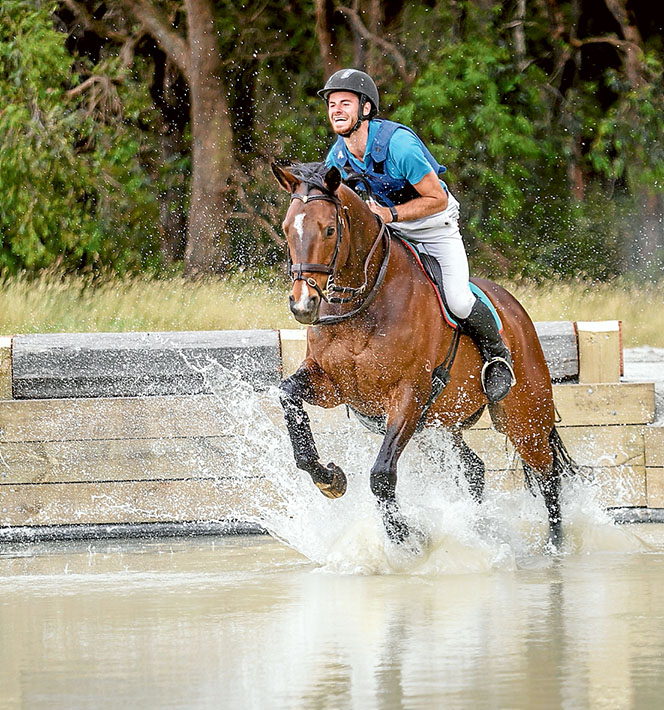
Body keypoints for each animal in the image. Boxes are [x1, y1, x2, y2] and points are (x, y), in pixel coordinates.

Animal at [272, 161, 572, 552]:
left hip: (524, 416)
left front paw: (404, 535)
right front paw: (328, 478)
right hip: (438, 425)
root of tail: (517, 312)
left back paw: (556, 548)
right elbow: (287, 394)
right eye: (286, 229)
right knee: (475, 469)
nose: (303, 304)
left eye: (329, 230)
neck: (363, 302)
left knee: (546, 473)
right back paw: (480, 531)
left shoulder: (408, 395)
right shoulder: (333, 385)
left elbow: (382, 475)